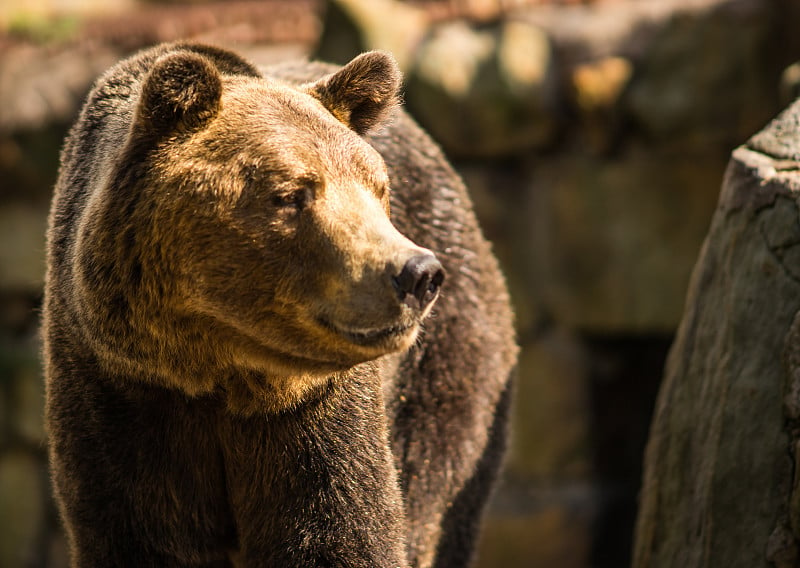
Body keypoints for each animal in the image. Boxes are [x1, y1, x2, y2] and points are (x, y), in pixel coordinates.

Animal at [43, 43, 520, 568]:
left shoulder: (314, 414)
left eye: (378, 189)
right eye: (294, 193)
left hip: (448, 365)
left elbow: (345, 533)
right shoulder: (119, 393)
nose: (416, 273)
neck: (217, 368)